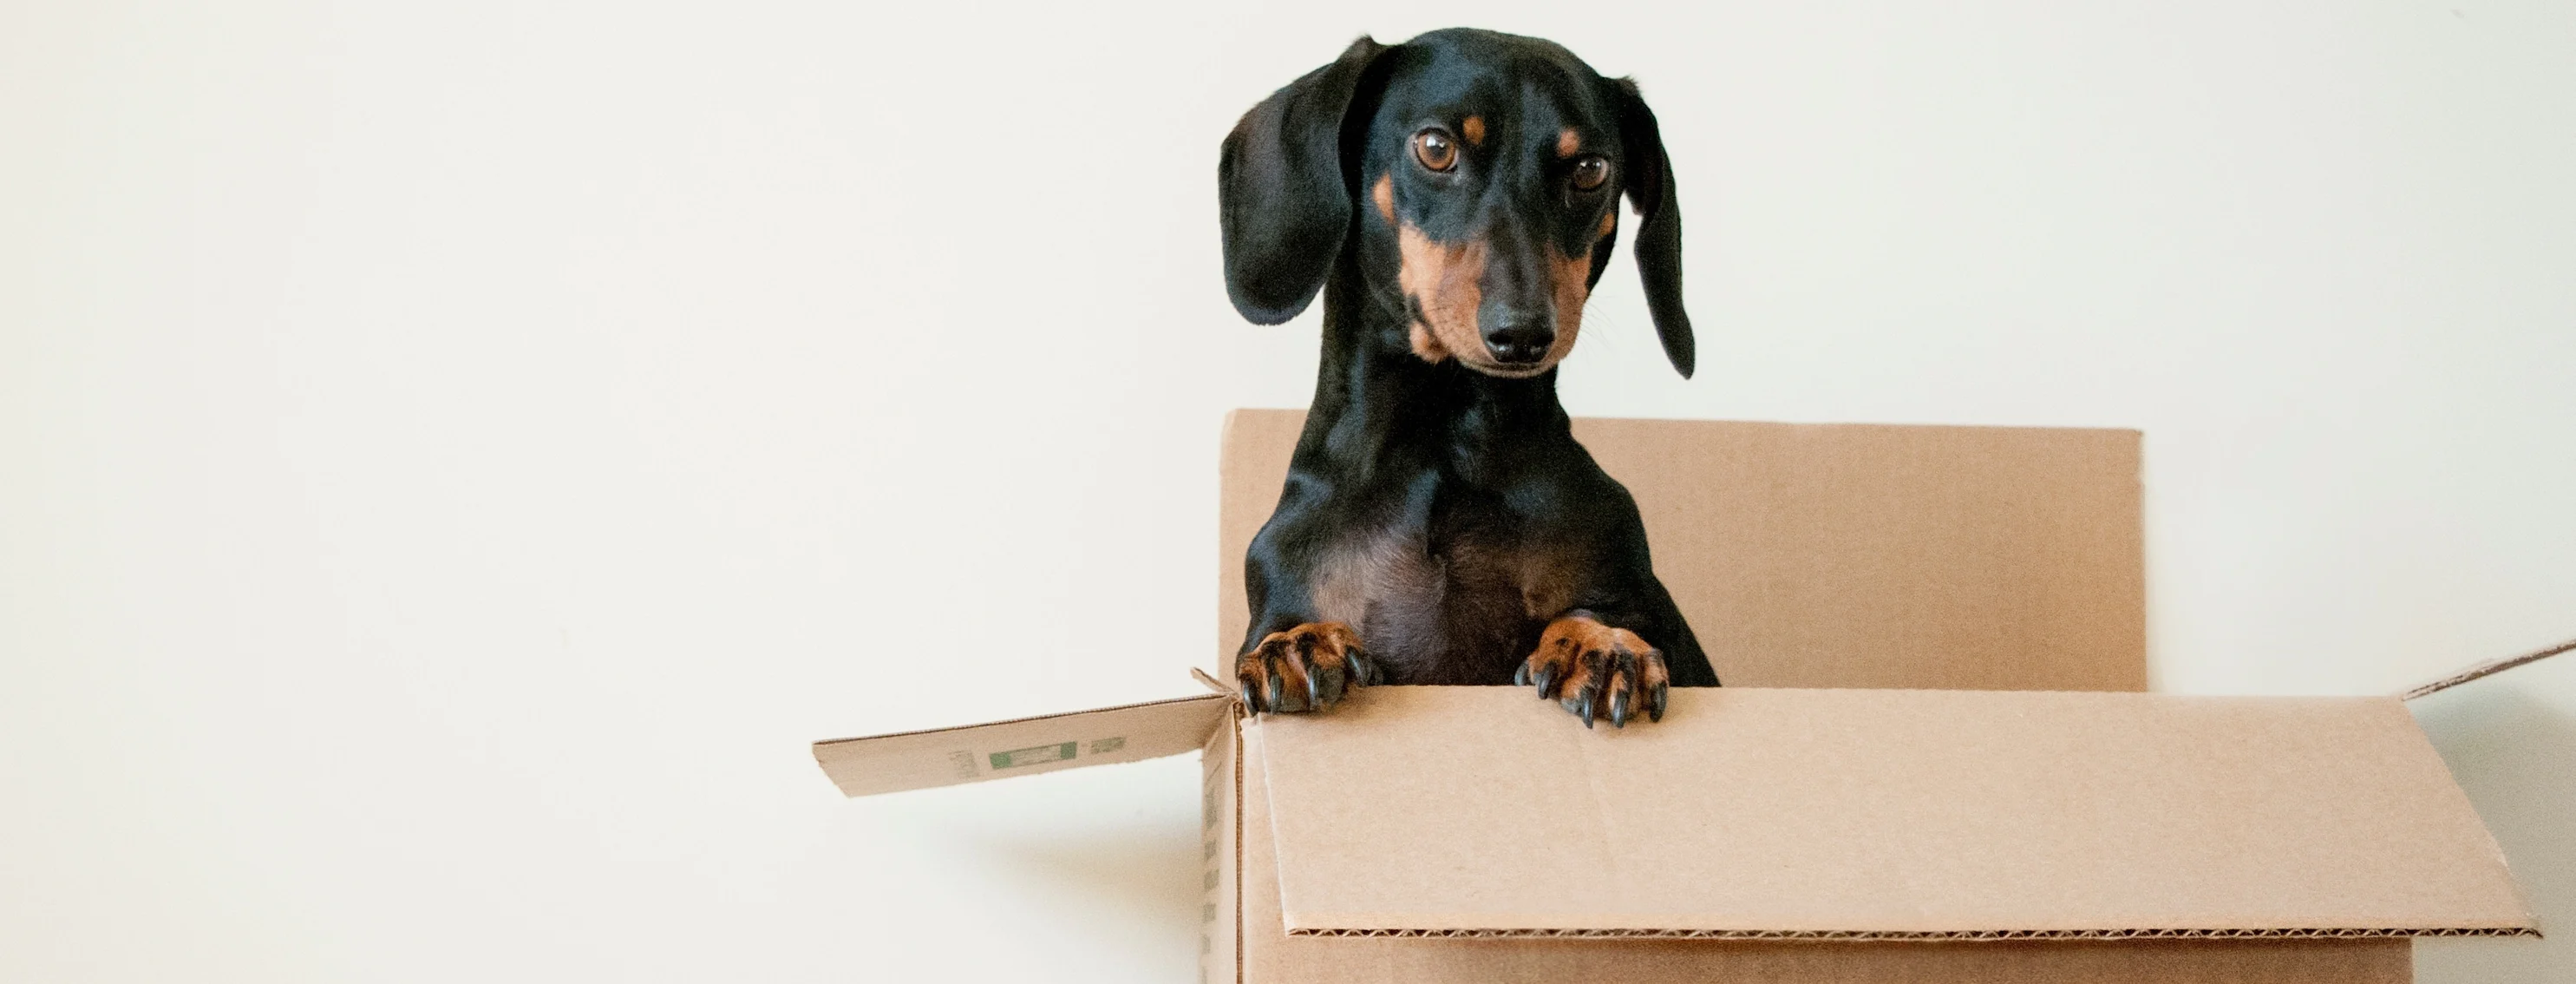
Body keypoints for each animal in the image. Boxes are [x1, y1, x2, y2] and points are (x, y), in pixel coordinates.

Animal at [1220, 29, 1710, 731]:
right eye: (1435, 147)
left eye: (1591, 170)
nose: (1522, 333)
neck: (1443, 443)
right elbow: (1286, 627)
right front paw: (1298, 643)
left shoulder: (1637, 592)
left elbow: (1602, 613)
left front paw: (1599, 643)